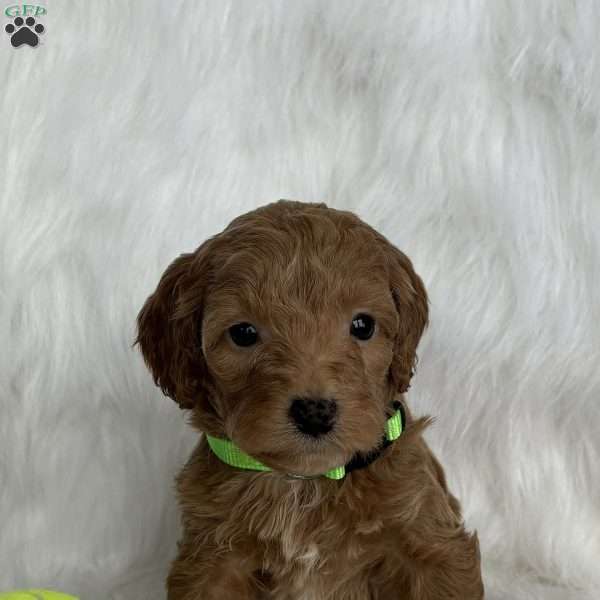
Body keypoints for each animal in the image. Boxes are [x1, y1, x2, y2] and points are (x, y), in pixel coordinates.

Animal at [136, 202, 482, 600]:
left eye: (362, 326)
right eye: (243, 333)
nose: (315, 412)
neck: (305, 483)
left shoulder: (427, 542)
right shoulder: (213, 559)